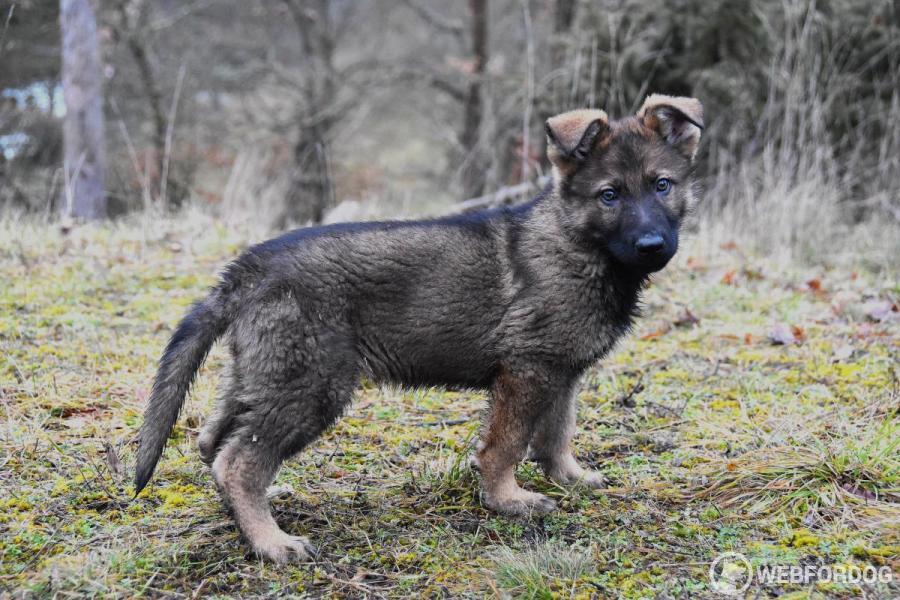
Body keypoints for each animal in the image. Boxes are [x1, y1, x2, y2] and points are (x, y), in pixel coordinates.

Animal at [134, 94, 703, 564]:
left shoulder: (560, 372)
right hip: (310, 384)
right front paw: (507, 500)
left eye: (662, 186)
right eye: (609, 195)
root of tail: (245, 270)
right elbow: (507, 444)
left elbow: (557, 432)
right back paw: (272, 543)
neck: (577, 243)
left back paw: (252, 514)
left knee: (213, 442)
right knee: (239, 461)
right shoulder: (527, 370)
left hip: (261, 373)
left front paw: (571, 478)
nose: (653, 245)